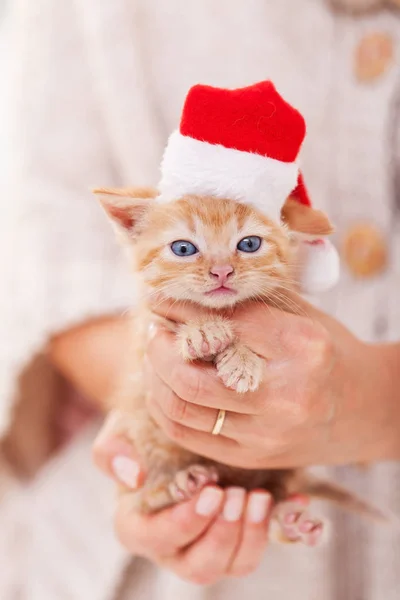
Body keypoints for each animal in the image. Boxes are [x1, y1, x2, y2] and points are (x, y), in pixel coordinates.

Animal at [94, 186, 384, 544]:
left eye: (249, 244)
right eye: (183, 248)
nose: (221, 271)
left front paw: (242, 360)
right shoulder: (147, 330)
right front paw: (203, 330)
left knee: (275, 495)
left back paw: (290, 521)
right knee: (139, 500)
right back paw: (176, 485)